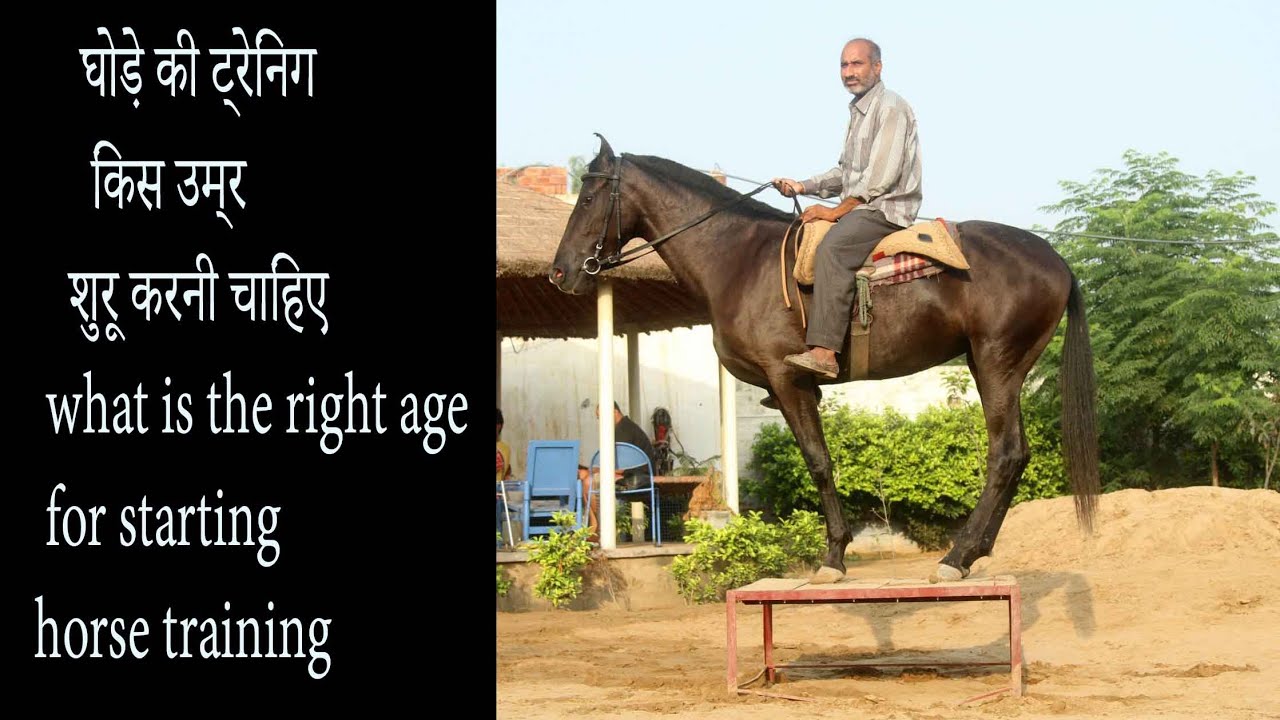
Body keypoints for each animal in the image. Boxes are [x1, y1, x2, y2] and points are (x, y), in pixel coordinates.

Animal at [549, 135, 1100, 584]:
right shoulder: (795, 389)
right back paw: (975, 551)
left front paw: (833, 557)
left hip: (994, 363)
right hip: (1000, 367)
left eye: (591, 196)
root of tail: (1056, 260)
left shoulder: (787, 379)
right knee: (1017, 453)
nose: (560, 272)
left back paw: (956, 556)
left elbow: (818, 461)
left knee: (1004, 453)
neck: (737, 261)